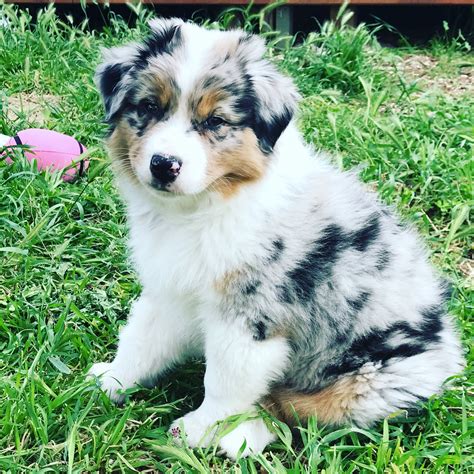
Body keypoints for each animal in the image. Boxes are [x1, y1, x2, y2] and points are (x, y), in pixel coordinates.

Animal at [90, 18, 464, 460]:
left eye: (215, 122)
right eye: (148, 107)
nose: (164, 165)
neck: (202, 208)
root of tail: (449, 346)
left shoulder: (252, 318)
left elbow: (224, 382)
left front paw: (198, 431)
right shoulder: (172, 288)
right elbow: (142, 338)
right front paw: (110, 381)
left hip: (370, 381)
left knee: (294, 410)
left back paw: (241, 436)